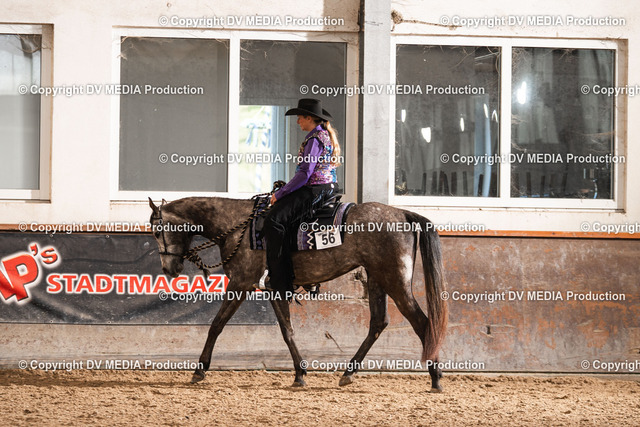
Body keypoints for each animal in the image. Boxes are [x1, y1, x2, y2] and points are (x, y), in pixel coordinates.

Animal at [148, 196, 448, 392]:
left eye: (157, 231)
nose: (169, 269)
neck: (239, 226)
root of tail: (402, 214)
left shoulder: (241, 283)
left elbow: (216, 324)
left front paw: (200, 369)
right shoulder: (274, 289)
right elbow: (287, 330)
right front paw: (300, 373)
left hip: (395, 281)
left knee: (422, 323)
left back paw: (435, 378)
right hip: (377, 279)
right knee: (378, 322)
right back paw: (348, 373)